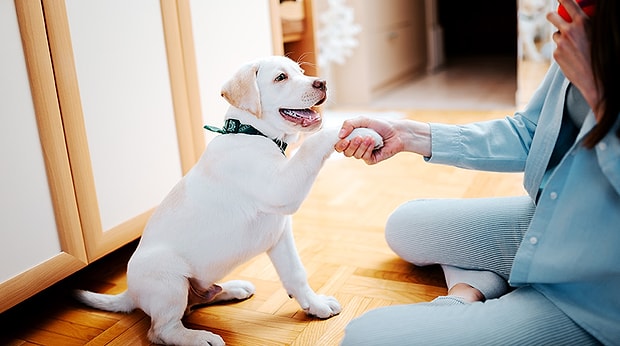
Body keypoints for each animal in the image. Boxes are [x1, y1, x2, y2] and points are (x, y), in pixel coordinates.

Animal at [75, 55, 380, 344]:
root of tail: (131, 294)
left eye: (302, 72)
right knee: (162, 329)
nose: (322, 83)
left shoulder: (280, 232)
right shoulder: (282, 189)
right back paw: (200, 338)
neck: (253, 134)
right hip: (168, 279)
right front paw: (360, 130)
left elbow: (296, 273)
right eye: (281, 77)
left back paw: (232, 289)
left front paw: (314, 305)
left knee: (193, 304)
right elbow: (313, 143)